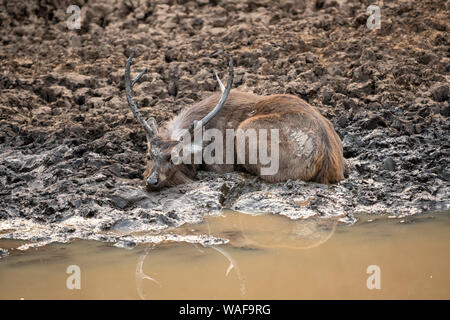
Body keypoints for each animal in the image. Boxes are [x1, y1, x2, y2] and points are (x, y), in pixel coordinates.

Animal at [125, 53, 346, 191]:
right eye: (148, 156)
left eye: (175, 158)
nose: (152, 181)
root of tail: (327, 159)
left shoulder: (221, 164)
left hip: (247, 131)